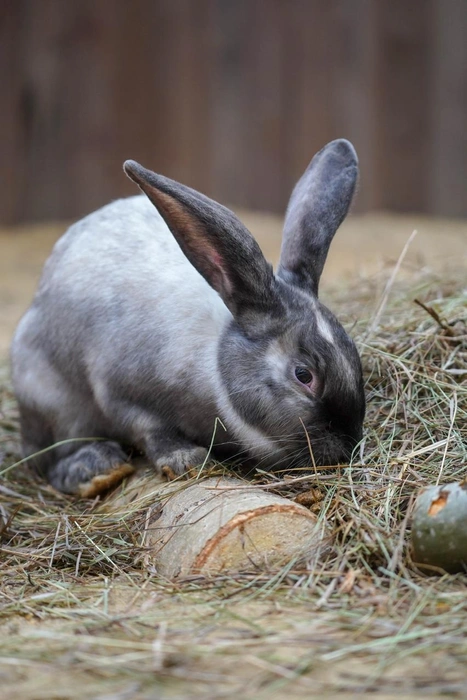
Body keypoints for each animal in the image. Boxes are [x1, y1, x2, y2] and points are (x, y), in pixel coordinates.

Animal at [11, 138, 365, 497]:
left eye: (354, 353)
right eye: (303, 375)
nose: (346, 444)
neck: (213, 364)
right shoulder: (117, 389)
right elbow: (146, 426)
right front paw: (187, 460)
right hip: (51, 399)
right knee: (50, 458)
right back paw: (97, 468)